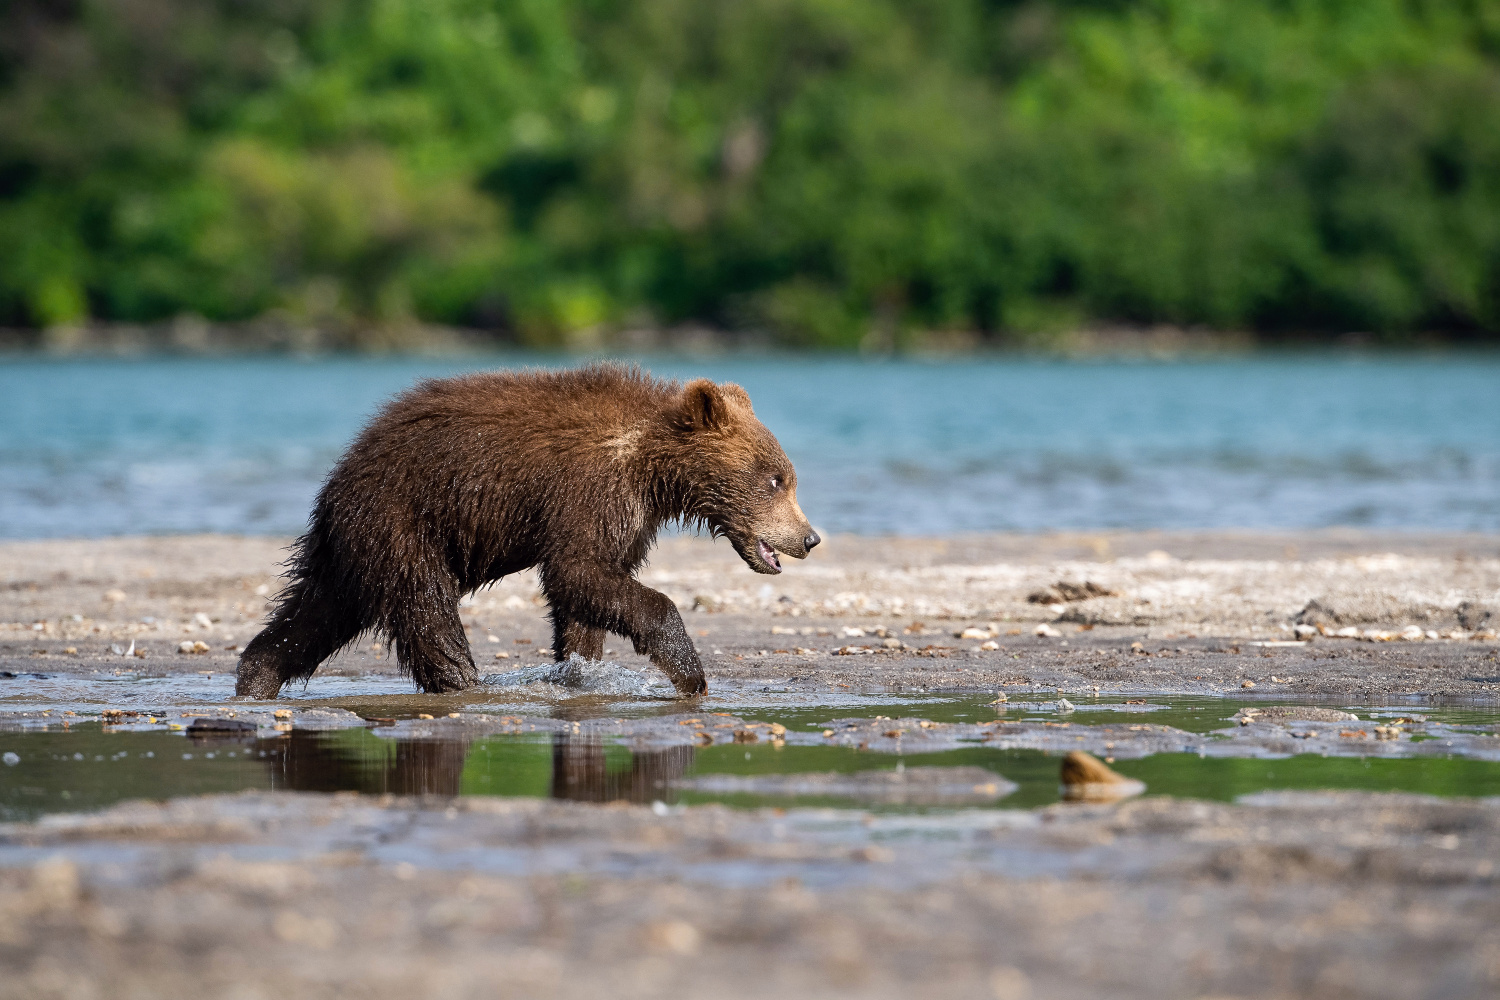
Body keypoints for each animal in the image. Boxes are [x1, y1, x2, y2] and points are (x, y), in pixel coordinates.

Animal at [235, 364, 822, 701]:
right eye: (776, 479)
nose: (809, 537)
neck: (654, 471)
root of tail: (340, 476)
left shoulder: (626, 518)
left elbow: (589, 593)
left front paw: (581, 669)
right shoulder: (588, 489)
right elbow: (576, 571)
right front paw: (687, 670)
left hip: (353, 548)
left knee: (315, 614)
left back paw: (256, 676)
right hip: (403, 522)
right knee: (427, 608)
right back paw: (463, 682)